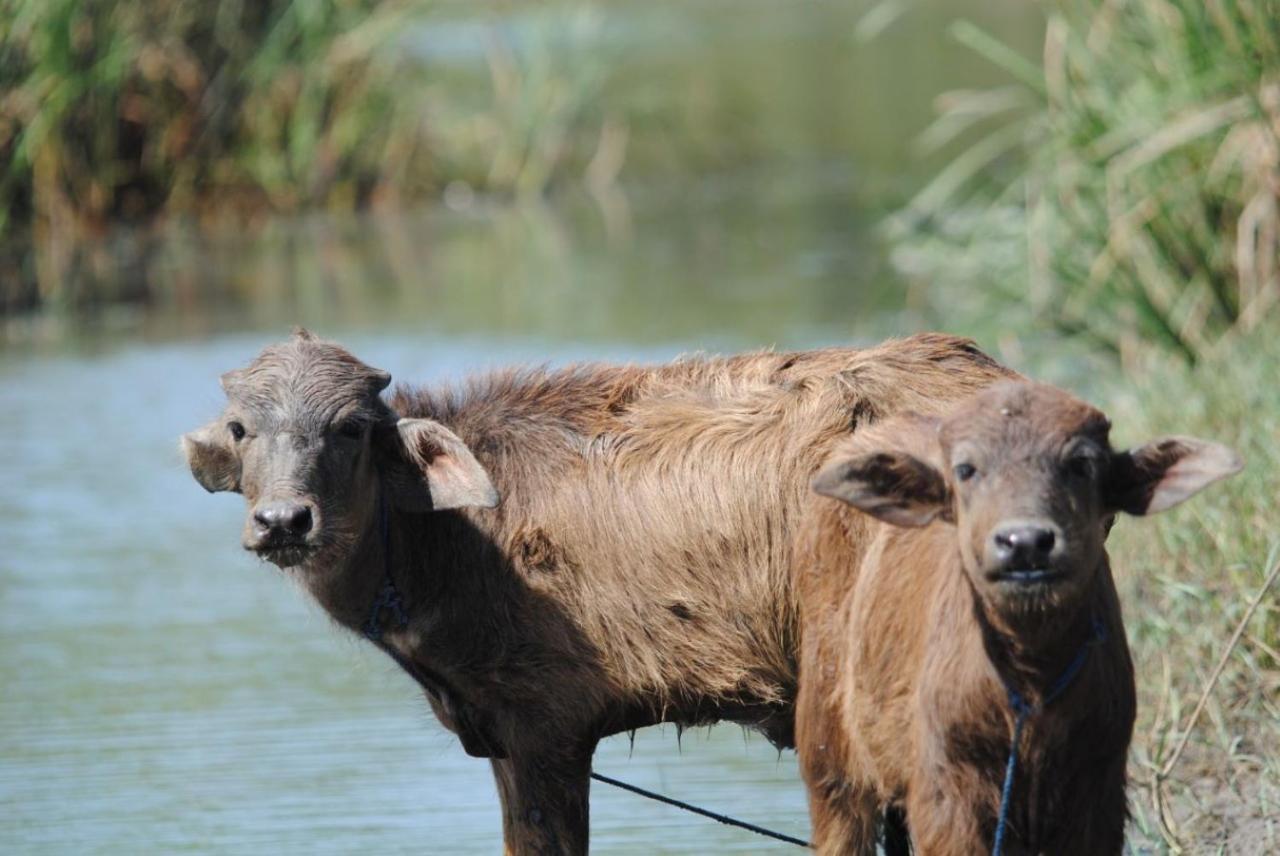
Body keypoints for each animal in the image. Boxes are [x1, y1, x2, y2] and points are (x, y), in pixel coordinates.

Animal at [798, 381, 1239, 854]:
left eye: (1081, 463)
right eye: (966, 469)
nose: (1025, 542)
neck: (1031, 680)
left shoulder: (1097, 791)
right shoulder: (949, 797)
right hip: (830, 765)